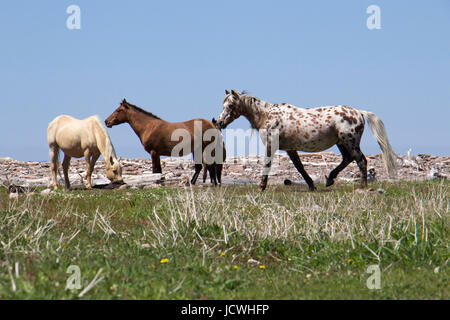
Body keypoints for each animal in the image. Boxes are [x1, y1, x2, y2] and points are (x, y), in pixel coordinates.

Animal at [216, 89, 396, 191]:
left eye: (230, 106)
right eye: (223, 105)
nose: (219, 123)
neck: (268, 115)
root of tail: (359, 112)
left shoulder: (271, 146)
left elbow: (267, 165)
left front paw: (261, 187)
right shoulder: (290, 149)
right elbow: (300, 167)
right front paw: (311, 185)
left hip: (350, 142)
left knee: (361, 160)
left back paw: (362, 186)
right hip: (341, 143)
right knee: (348, 159)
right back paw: (330, 179)